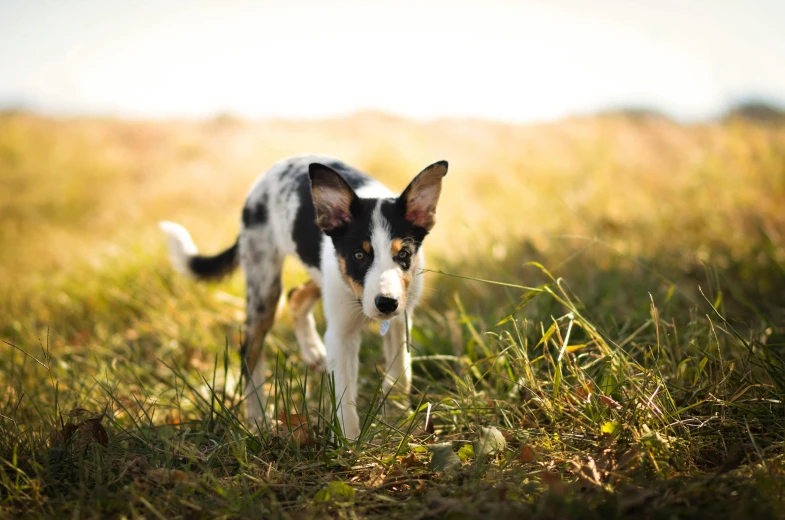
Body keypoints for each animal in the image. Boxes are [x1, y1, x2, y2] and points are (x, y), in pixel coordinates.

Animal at [159, 154, 448, 438]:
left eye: (404, 255)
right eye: (358, 255)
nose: (386, 303)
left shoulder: (400, 320)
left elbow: (401, 374)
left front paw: (399, 424)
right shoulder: (341, 333)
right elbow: (344, 395)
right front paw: (351, 444)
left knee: (295, 295)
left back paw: (312, 352)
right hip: (264, 283)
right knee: (250, 350)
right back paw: (257, 419)